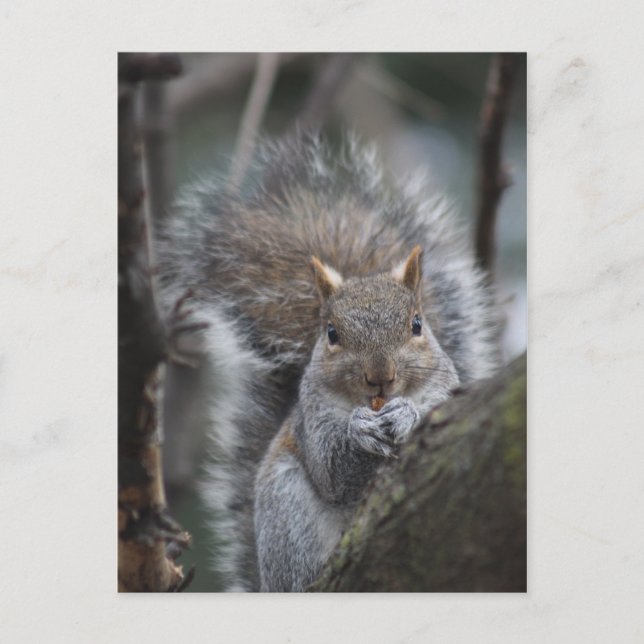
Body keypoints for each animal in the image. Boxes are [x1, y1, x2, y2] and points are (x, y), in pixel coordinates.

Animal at [157, 133, 500, 591]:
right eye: (332, 334)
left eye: (417, 324)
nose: (380, 377)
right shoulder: (312, 418)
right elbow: (333, 470)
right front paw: (359, 429)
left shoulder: (447, 393)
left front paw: (405, 414)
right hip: (287, 513)